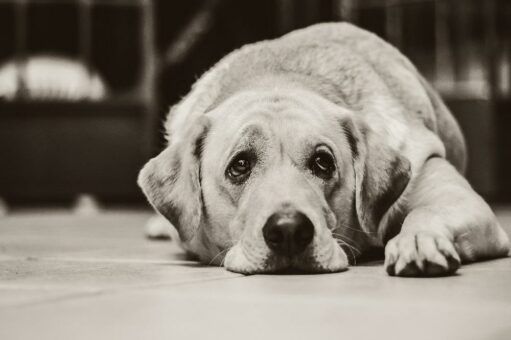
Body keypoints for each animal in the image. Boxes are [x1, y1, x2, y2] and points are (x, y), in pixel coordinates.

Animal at [138, 21, 510, 276]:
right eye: (239, 165)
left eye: (323, 162)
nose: (288, 230)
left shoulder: (458, 197)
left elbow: (426, 212)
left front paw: (419, 240)